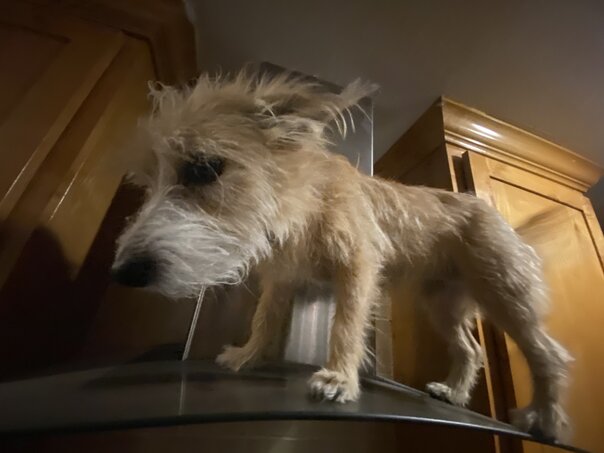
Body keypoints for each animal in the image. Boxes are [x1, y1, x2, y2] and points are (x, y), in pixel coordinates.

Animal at [111, 70, 571, 440]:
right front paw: (247, 355)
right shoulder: (281, 281)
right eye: (147, 183)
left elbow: (346, 326)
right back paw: (455, 392)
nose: (123, 273)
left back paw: (546, 419)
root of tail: (489, 210)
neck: (304, 206)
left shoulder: (358, 267)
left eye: (204, 168)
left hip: (506, 295)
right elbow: (264, 319)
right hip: (441, 303)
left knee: (549, 355)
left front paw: (340, 378)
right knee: (471, 349)